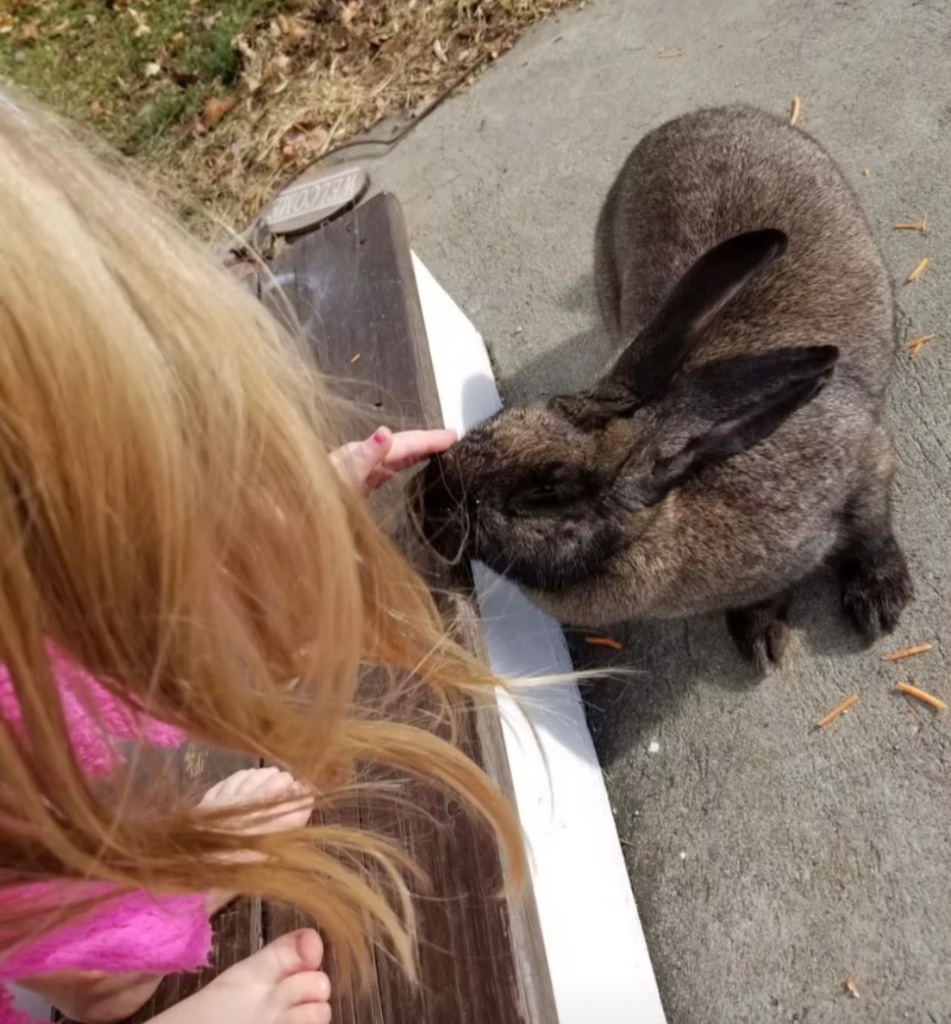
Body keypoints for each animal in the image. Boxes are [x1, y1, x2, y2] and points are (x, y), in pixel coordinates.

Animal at [416, 105, 912, 671]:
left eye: (545, 493)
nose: (426, 498)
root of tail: (697, 118)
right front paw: (760, 636)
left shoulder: (867, 458)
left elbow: (872, 527)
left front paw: (879, 604)